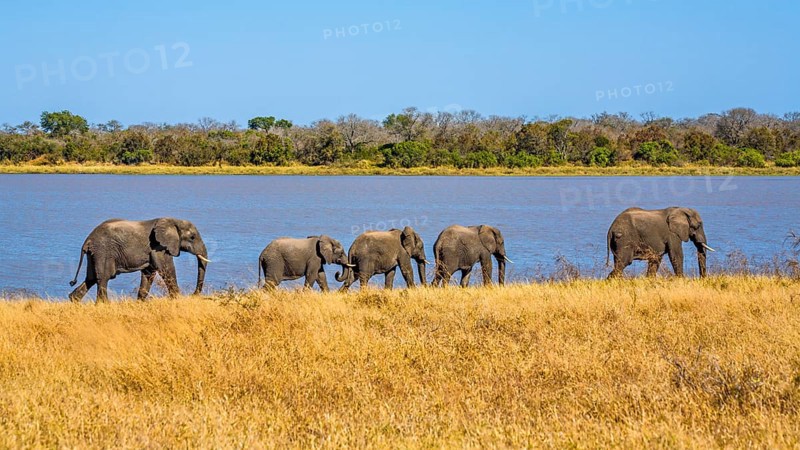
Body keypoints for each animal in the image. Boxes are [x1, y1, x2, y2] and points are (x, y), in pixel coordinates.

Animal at [68, 218, 210, 303]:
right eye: (192, 237)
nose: (193, 294)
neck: (172, 220)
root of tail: (88, 240)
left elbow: (149, 273)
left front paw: (140, 302)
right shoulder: (158, 246)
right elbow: (166, 269)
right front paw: (177, 299)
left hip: (94, 254)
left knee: (91, 277)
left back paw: (74, 300)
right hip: (103, 251)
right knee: (103, 277)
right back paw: (104, 305)